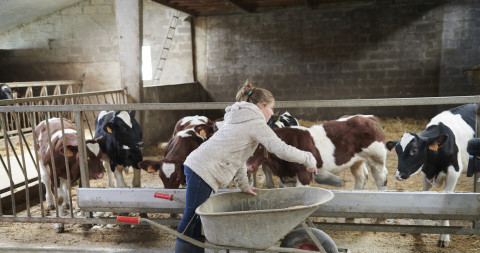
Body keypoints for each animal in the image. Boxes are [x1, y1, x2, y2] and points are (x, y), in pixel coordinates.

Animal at [246, 114, 388, 190]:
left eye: (260, 145)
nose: (248, 166)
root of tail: (369, 117)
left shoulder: (304, 175)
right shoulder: (287, 178)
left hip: (377, 159)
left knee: (381, 179)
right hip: (356, 161)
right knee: (361, 178)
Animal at [384, 103, 474, 247]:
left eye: (414, 150)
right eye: (397, 151)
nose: (398, 175)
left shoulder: (454, 172)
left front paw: (444, 237)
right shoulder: (425, 173)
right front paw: (419, 227)